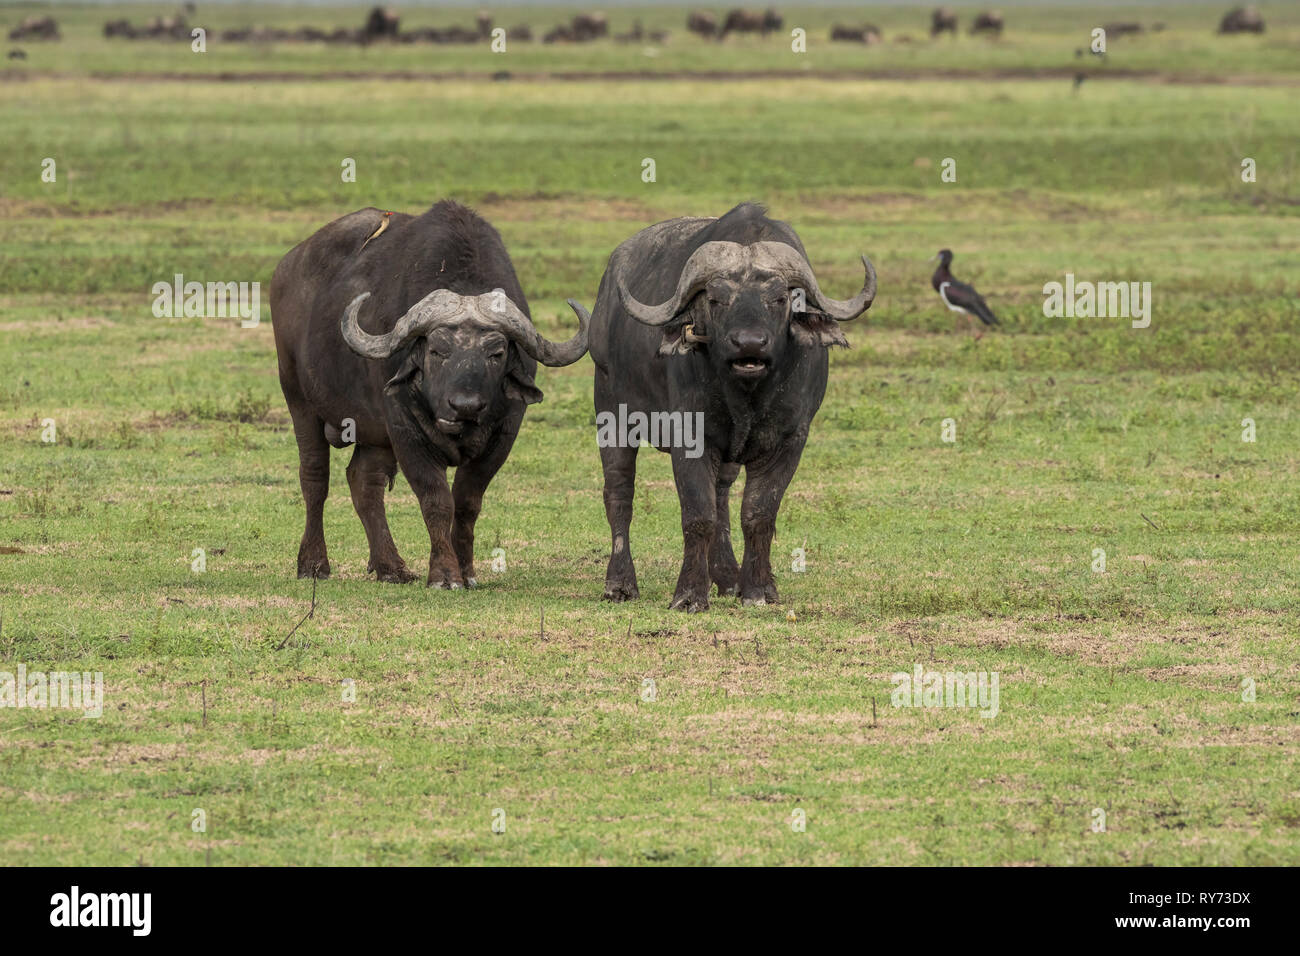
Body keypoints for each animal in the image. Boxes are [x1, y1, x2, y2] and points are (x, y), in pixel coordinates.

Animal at [271, 201, 592, 587]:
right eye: (437, 351)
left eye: (497, 353)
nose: (465, 406)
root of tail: (287, 267)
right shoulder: (404, 430)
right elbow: (436, 499)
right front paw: (444, 574)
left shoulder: (504, 433)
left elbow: (467, 502)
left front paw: (466, 571)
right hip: (298, 398)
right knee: (314, 477)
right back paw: (313, 563)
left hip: (373, 432)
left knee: (364, 481)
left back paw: (391, 567)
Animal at [592, 204, 878, 613]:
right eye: (715, 300)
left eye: (780, 299)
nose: (750, 344)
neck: (748, 395)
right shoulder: (688, 435)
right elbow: (698, 515)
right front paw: (689, 594)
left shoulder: (791, 439)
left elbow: (758, 514)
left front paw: (757, 589)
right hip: (612, 417)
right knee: (619, 493)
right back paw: (619, 584)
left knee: (723, 494)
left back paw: (727, 578)